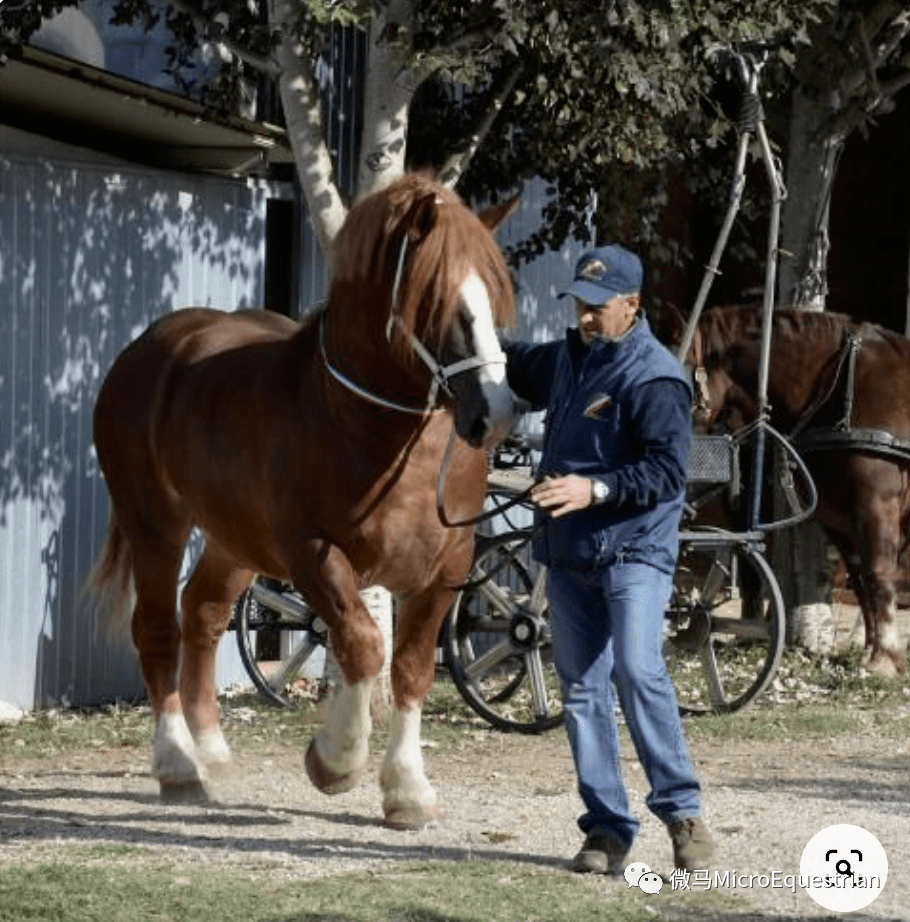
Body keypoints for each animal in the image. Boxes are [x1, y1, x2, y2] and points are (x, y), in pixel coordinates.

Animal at [92, 174, 520, 828]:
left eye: (495, 299)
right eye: (436, 299)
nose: (493, 415)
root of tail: (147, 348)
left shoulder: (450, 563)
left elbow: (412, 668)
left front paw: (407, 790)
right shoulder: (313, 554)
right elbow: (364, 646)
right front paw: (335, 762)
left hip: (234, 540)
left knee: (203, 613)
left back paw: (211, 750)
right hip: (155, 525)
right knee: (159, 629)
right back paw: (179, 766)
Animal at [680, 306, 910, 672]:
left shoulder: (876, 504)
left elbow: (878, 573)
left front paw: (884, 658)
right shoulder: (838, 517)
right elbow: (860, 578)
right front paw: (870, 650)